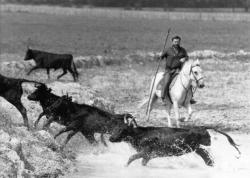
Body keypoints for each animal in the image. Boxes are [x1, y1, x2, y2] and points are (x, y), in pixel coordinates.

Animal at [109, 121, 240, 167]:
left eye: (121, 129)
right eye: (114, 128)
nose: (110, 138)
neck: (140, 134)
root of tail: (200, 127)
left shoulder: (146, 151)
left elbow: (131, 157)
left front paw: (125, 166)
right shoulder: (148, 155)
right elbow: (142, 162)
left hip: (197, 145)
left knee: (205, 153)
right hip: (195, 147)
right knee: (205, 154)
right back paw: (211, 164)